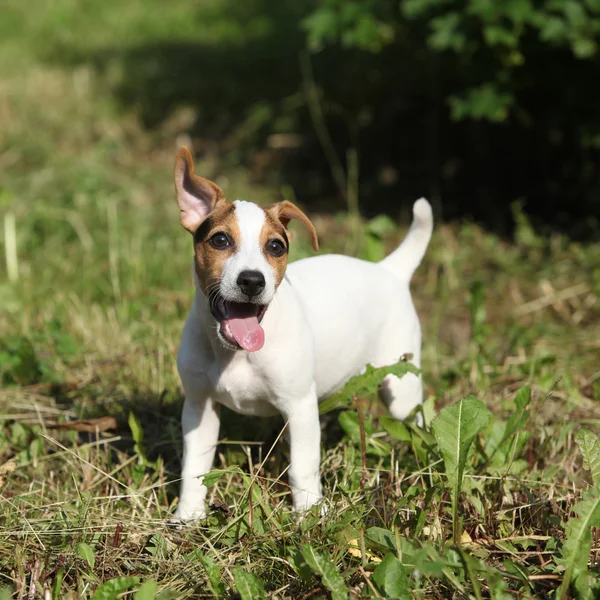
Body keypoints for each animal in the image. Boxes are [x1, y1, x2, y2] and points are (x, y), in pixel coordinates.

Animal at [172, 148, 432, 516]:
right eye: (220, 240)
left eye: (276, 247)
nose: (252, 281)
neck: (235, 354)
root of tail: (390, 270)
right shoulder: (199, 406)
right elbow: (195, 467)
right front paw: (188, 516)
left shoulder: (300, 407)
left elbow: (302, 466)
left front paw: (309, 514)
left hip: (402, 389)